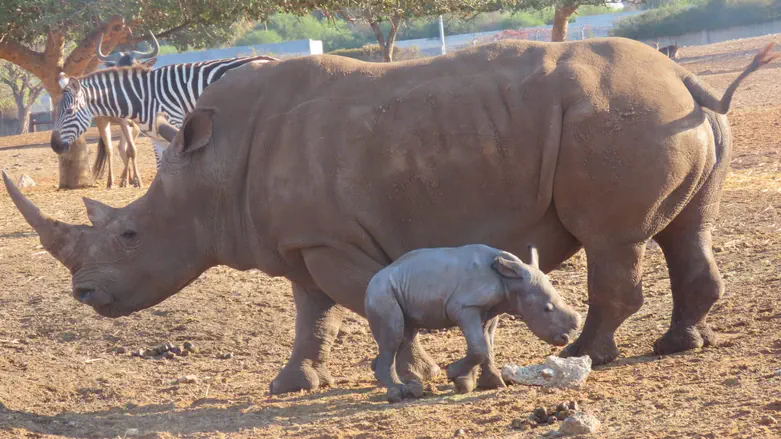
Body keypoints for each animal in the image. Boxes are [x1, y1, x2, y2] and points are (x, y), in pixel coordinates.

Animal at [51, 54, 278, 170]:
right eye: (55, 112)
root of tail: (271, 59)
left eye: (69, 111)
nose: (54, 146)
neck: (143, 97)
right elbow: (160, 167)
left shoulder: (177, 126)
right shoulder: (156, 138)